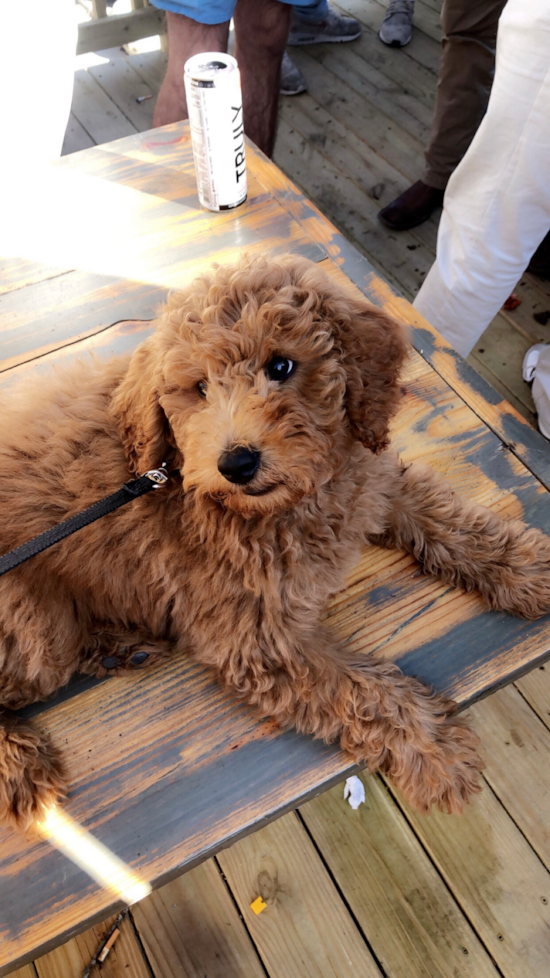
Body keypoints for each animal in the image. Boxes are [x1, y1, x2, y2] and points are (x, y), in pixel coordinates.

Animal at [1, 255, 550, 828]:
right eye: (199, 388)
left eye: (282, 367)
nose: (236, 463)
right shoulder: (256, 642)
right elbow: (366, 693)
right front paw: (437, 751)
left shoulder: (371, 483)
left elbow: (448, 518)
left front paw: (526, 568)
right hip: (35, 629)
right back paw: (22, 763)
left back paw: (119, 648)